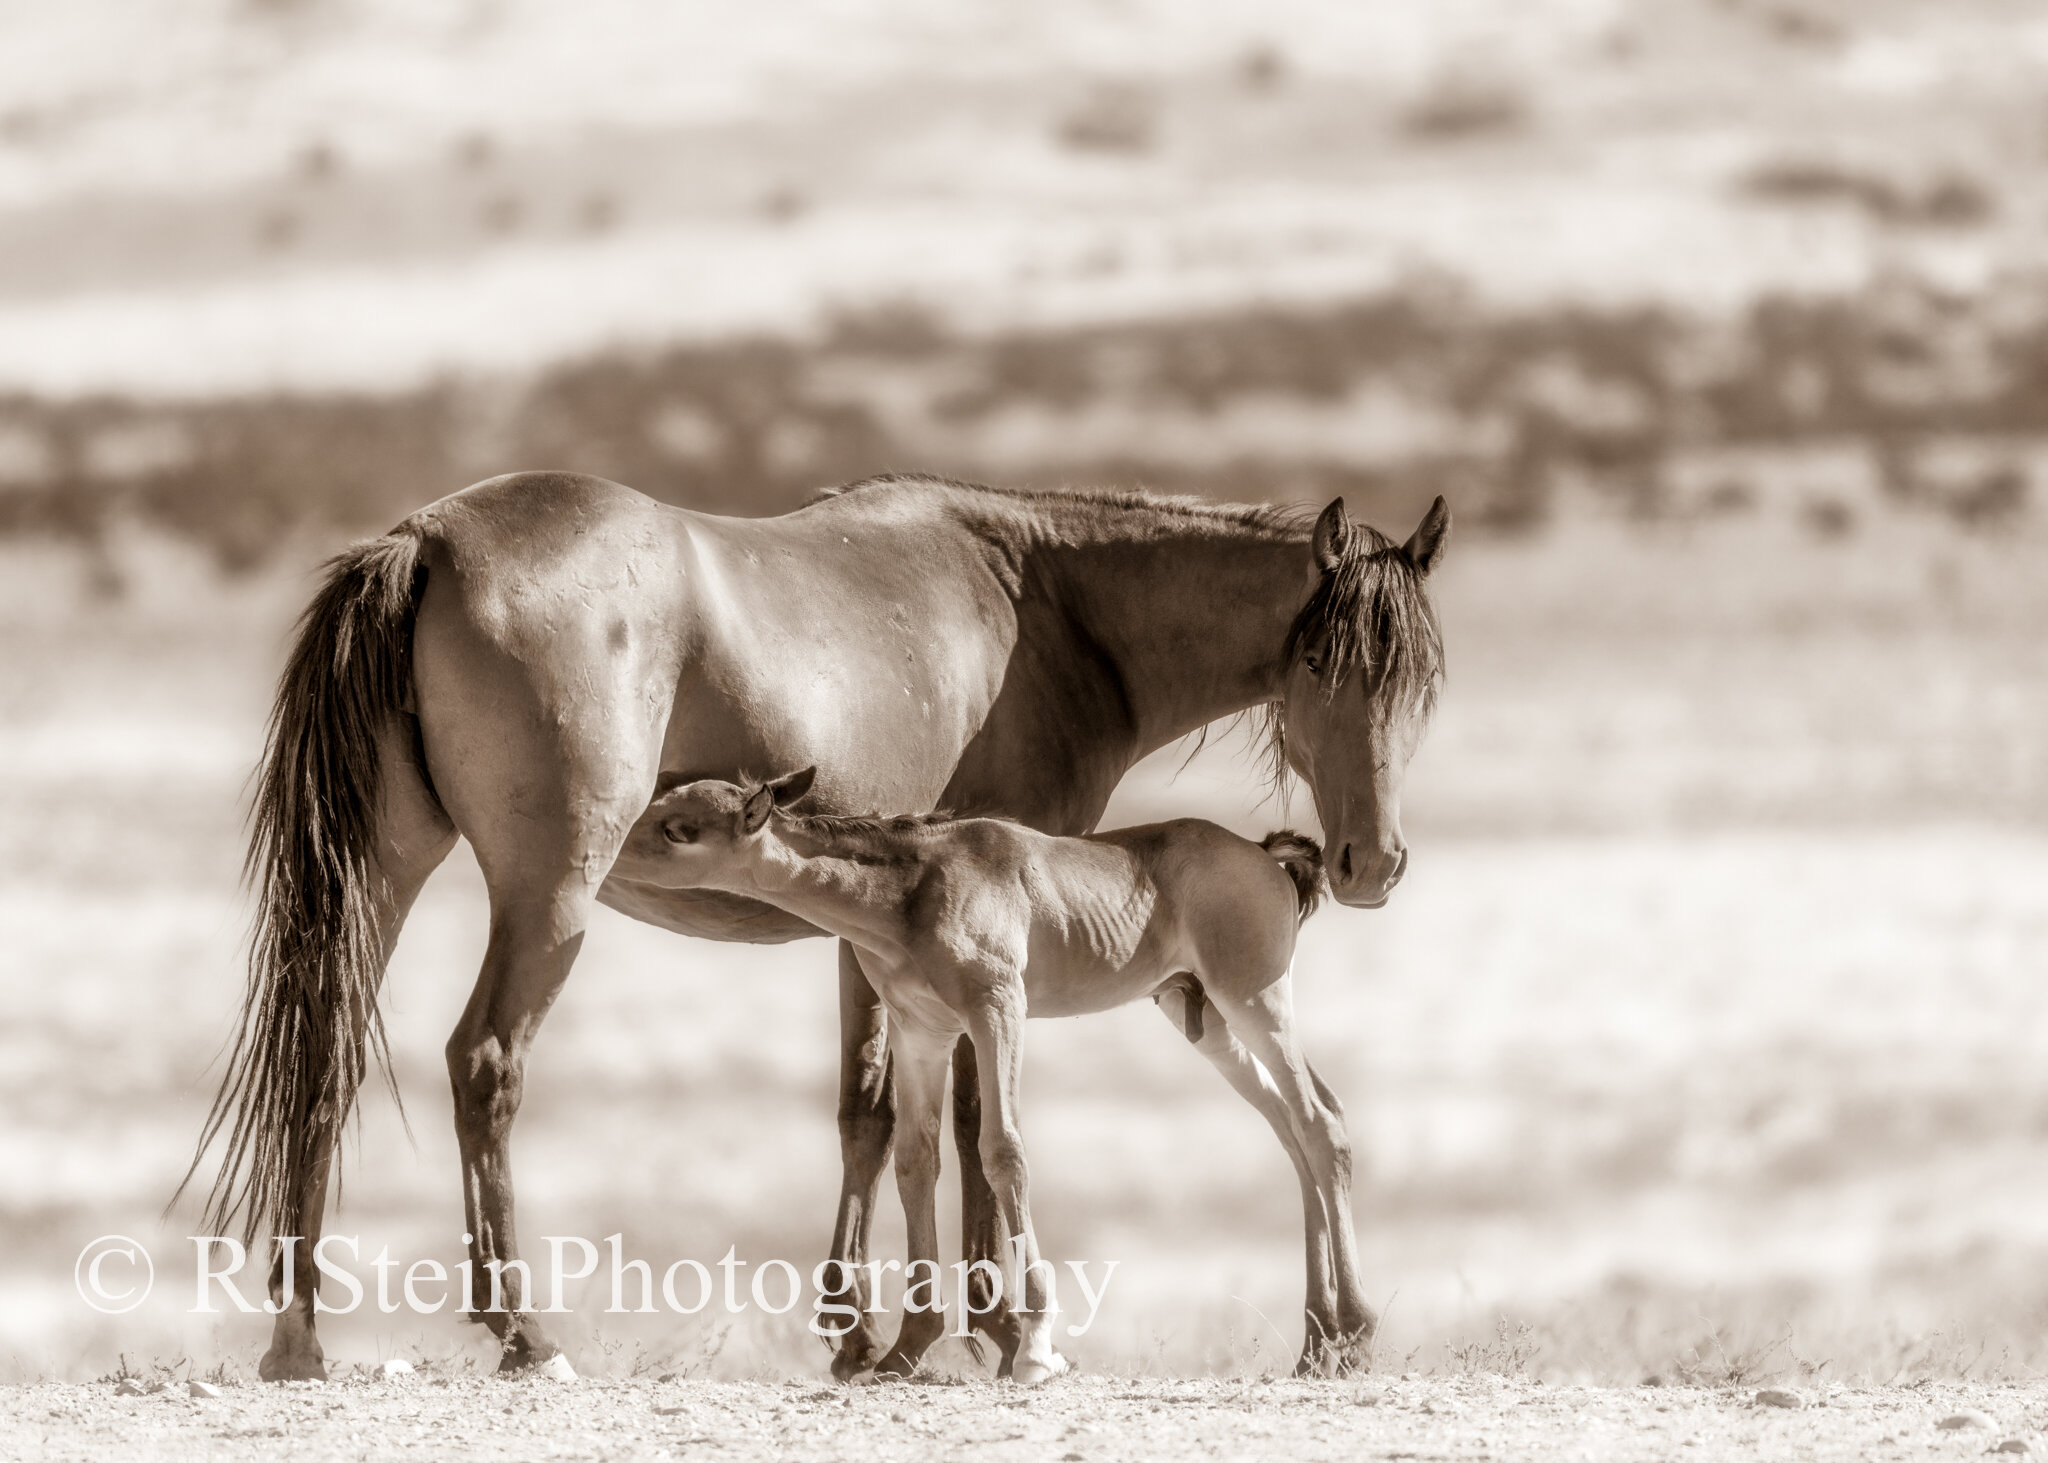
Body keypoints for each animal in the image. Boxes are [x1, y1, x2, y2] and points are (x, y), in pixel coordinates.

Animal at [610, 762, 1376, 1376]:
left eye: (677, 827)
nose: (610, 854)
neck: (914, 887)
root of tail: (1266, 857)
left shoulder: (997, 1009)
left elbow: (1003, 1149)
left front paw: (1035, 1347)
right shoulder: (922, 1031)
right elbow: (916, 1159)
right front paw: (905, 1349)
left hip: (1255, 1002)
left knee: (1320, 1123)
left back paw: (1357, 1330)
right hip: (1208, 1020)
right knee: (1294, 1129)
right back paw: (1319, 1344)